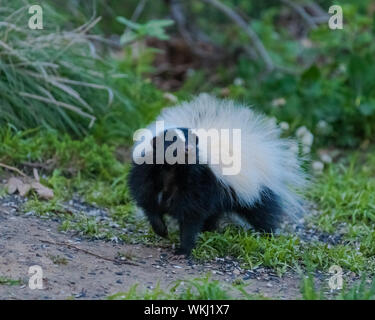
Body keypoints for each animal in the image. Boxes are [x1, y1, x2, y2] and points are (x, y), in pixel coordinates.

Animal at [128, 93, 306, 255]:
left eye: (191, 142)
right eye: (171, 142)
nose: (188, 149)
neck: (172, 171)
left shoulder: (198, 183)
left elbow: (191, 216)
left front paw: (183, 249)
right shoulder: (148, 176)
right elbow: (149, 205)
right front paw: (161, 229)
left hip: (256, 192)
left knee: (262, 214)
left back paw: (267, 235)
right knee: (215, 214)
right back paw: (209, 230)